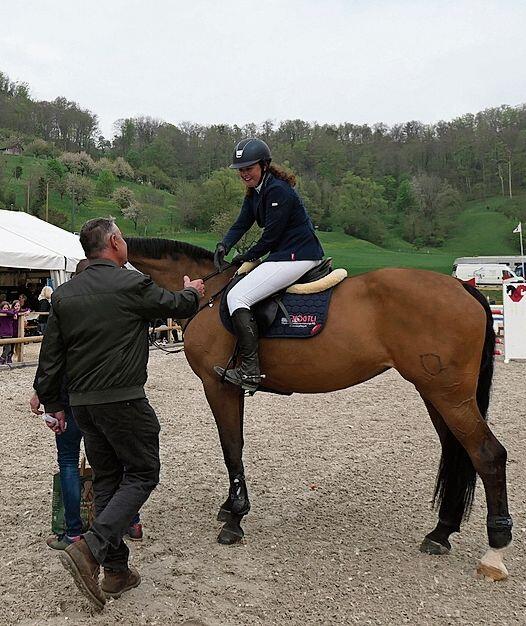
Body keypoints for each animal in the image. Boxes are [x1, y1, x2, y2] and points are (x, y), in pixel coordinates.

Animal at [127, 235, 516, 580]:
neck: (210, 296)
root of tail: (463, 288)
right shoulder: (227, 389)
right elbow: (233, 446)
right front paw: (229, 509)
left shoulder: (218, 385)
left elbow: (231, 447)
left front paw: (235, 518)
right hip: (434, 392)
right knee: (457, 450)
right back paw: (441, 532)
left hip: (449, 395)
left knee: (487, 454)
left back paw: (494, 551)